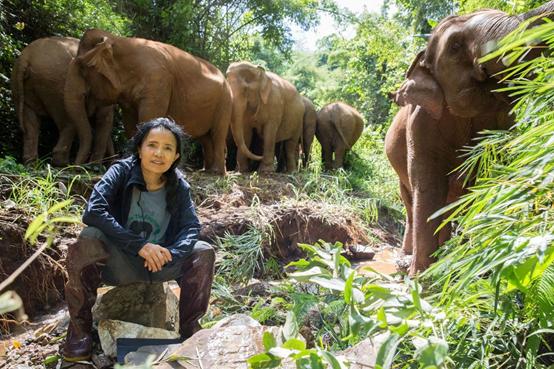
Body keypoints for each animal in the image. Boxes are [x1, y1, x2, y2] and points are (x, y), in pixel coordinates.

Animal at [11, 36, 113, 165]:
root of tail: (26, 58)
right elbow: (104, 118)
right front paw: (96, 166)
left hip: (19, 85)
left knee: (30, 124)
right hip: (55, 84)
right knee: (68, 123)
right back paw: (63, 164)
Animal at [64, 28, 231, 174]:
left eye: (83, 69)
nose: (75, 168)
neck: (119, 40)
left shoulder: (158, 82)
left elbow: (148, 118)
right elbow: (130, 125)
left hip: (225, 102)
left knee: (218, 133)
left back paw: (217, 173)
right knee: (206, 138)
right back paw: (207, 171)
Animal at [384, 0, 552, 274]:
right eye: (455, 46)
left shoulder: (504, 121)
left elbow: (482, 179)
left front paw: (459, 267)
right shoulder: (421, 123)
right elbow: (429, 186)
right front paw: (421, 276)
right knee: (410, 201)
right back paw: (406, 259)